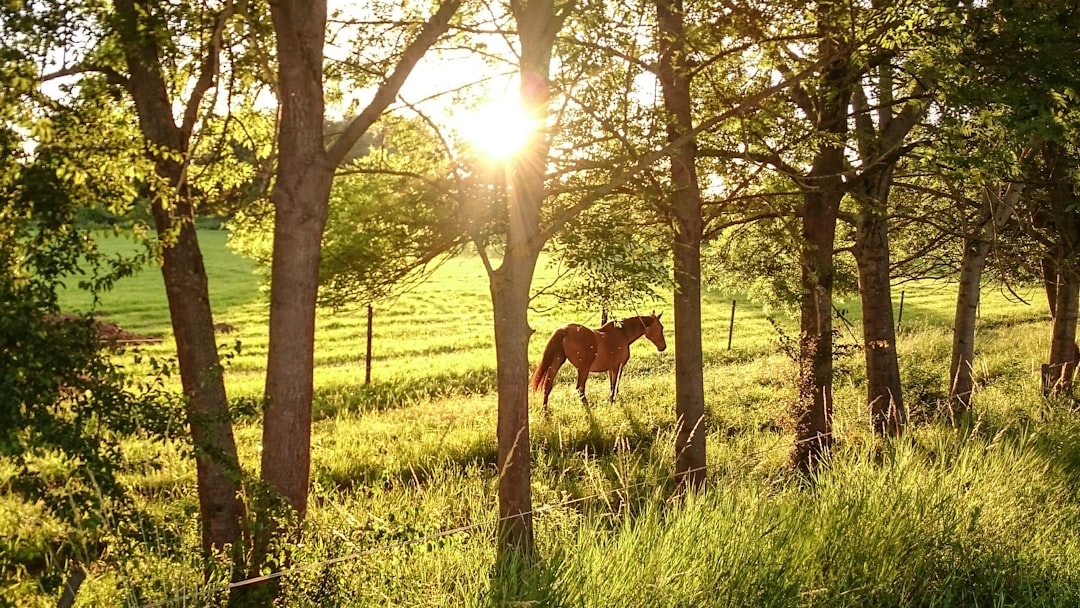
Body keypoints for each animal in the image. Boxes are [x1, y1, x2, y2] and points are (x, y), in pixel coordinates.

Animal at [527, 311, 660, 412]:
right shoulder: (618, 366)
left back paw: (545, 412)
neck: (623, 334)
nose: (662, 347)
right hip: (583, 369)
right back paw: (587, 407)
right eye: (661, 327)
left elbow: (612, 385)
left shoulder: (611, 368)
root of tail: (564, 330)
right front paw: (612, 401)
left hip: (557, 361)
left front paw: (611, 401)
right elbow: (615, 385)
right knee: (580, 388)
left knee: (547, 386)